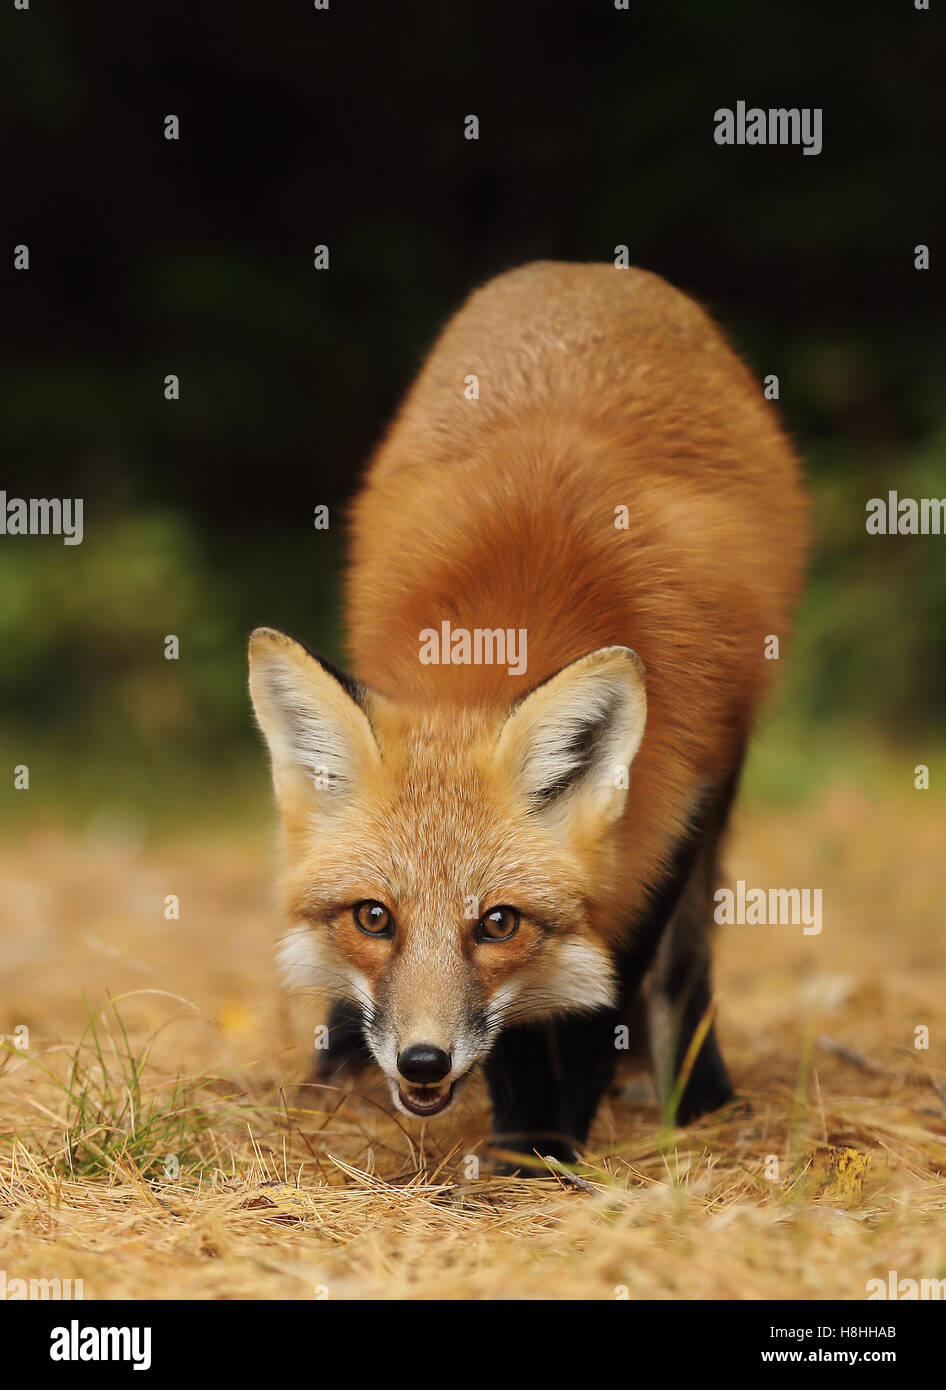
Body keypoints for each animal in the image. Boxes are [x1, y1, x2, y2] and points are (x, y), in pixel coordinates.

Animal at [249, 261, 808, 1167]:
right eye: (374, 917)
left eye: (498, 924)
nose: (423, 1060)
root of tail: (586, 271)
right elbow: (517, 1032)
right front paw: (522, 1136)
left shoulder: (678, 801)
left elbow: (606, 999)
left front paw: (550, 1145)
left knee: (687, 961)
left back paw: (701, 1098)